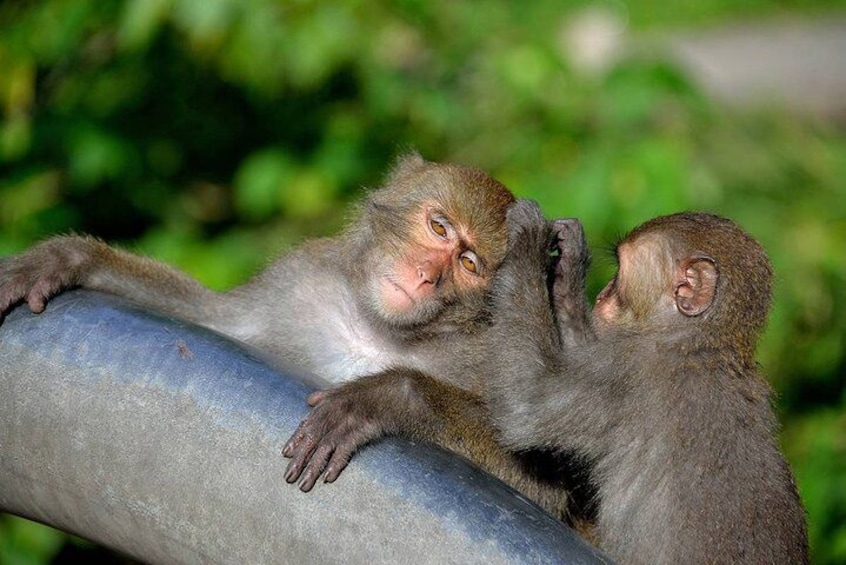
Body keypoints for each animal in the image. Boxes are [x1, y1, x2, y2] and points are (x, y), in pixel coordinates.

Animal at [284, 201, 808, 563]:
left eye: (621, 274)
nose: (603, 296)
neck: (701, 345)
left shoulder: (631, 374)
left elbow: (527, 406)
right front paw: (567, 266)